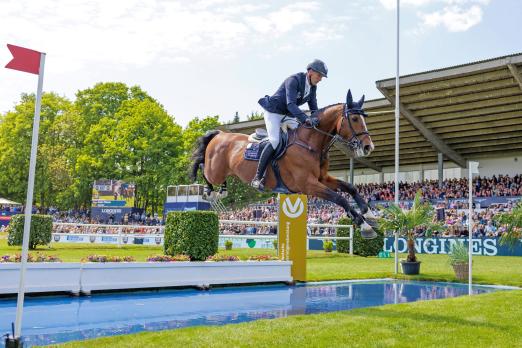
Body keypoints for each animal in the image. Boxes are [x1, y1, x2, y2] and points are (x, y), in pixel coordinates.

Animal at [191, 89, 378, 239]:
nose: (368, 147)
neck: (310, 143)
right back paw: (209, 190)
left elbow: (350, 188)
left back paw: (221, 190)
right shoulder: (308, 184)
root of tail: (220, 134)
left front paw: (370, 214)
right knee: (202, 167)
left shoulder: (322, 178)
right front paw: (365, 226)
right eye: (354, 118)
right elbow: (340, 198)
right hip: (215, 171)